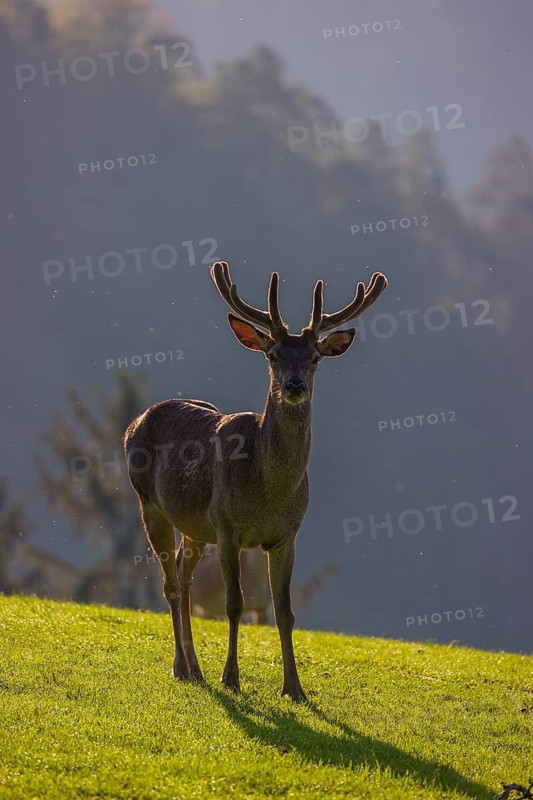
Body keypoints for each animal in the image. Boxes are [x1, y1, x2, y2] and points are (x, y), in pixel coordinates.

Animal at [124, 261, 388, 701]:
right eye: (273, 355)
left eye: (315, 357)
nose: (294, 386)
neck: (268, 492)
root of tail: (137, 420)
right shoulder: (228, 526)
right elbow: (235, 603)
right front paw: (231, 677)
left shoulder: (287, 535)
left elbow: (284, 611)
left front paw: (294, 688)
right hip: (150, 504)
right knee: (170, 584)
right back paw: (181, 667)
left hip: (195, 526)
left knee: (184, 576)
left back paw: (195, 667)